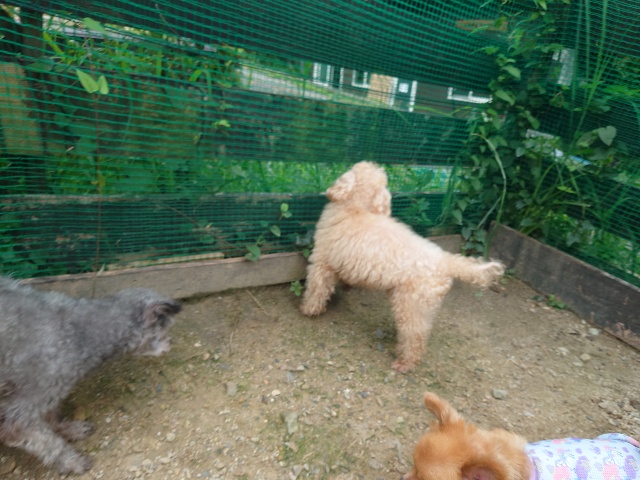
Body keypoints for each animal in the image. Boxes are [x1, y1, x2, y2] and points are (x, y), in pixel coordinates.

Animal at [0, 276, 181, 474]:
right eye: (164, 331)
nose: (171, 344)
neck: (78, 333)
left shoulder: (50, 391)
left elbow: (53, 415)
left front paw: (69, 429)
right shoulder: (27, 403)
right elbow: (45, 441)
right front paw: (72, 461)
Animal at [300, 161, 505, 372]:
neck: (357, 209)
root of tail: (445, 261)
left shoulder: (321, 262)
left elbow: (316, 289)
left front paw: (308, 309)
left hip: (411, 303)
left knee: (415, 336)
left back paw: (405, 363)